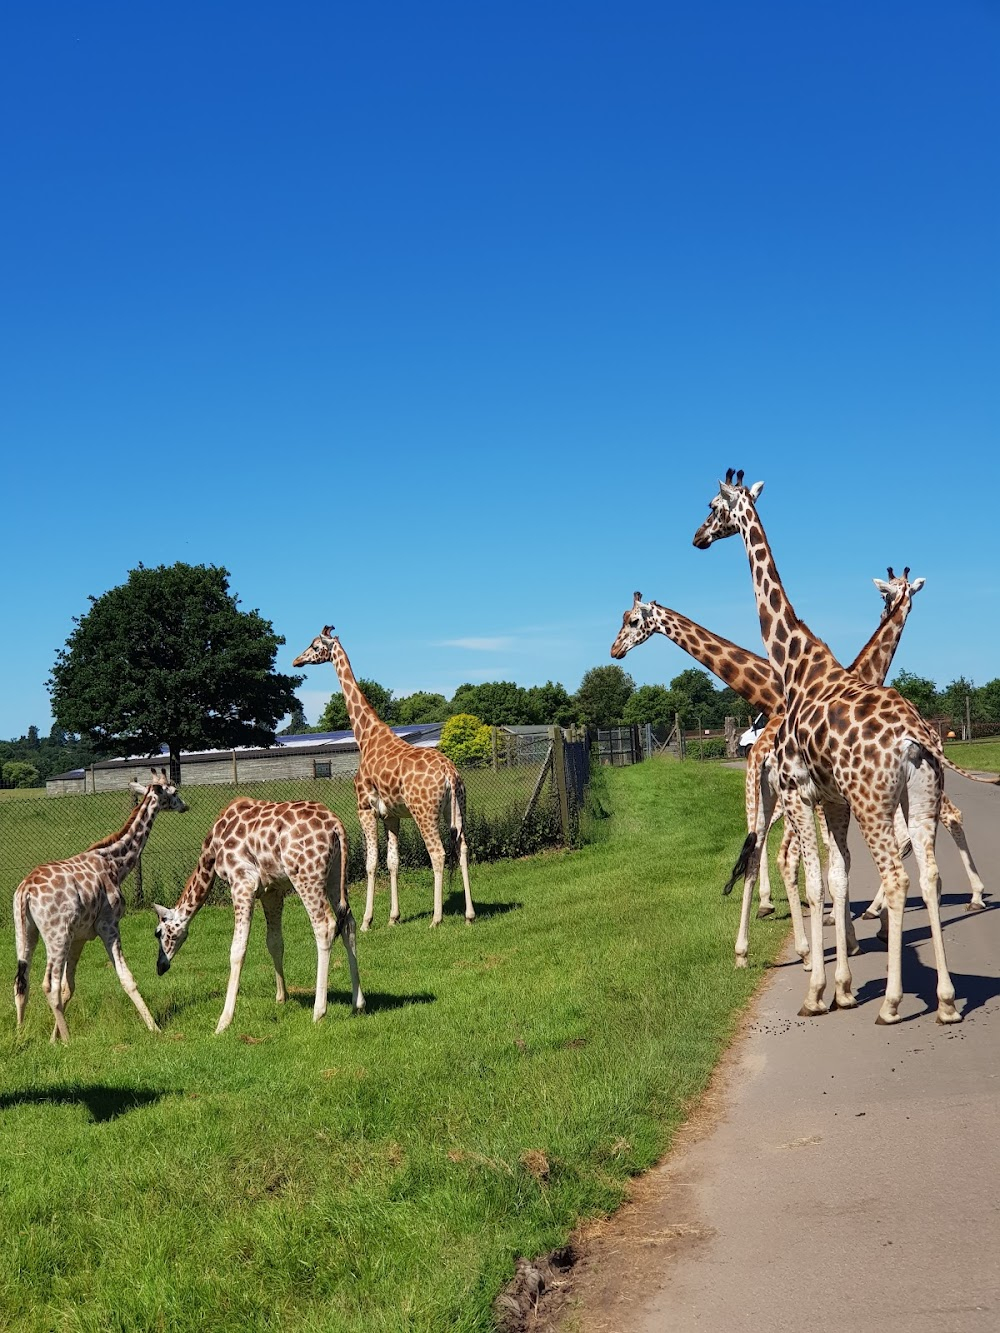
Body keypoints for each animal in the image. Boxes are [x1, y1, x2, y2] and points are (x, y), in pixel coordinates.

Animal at [13, 773, 189, 1039]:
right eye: (174, 791)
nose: (185, 806)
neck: (116, 862)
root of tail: (26, 891)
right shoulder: (109, 925)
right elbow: (126, 978)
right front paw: (154, 1028)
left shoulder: (79, 936)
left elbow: (69, 986)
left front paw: (52, 1039)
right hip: (57, 934)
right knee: (48, 984)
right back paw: (68, 1040)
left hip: (25, 932)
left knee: (21, 982)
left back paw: (20, 1034)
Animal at [152, 794, 365, 1034]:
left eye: (158, 932)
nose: (160, 966)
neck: (211, 851)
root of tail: (336, 826)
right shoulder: (271, 890)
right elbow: (274, 942)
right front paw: (281, 997)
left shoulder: (242, 882)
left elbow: (237, 949)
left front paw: (223, 1021)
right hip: (336, 874)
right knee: (348, 923)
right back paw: (358, 1003)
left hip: (307, 876)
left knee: (325, 926)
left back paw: (319, 1012)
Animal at [693, 469, 997, 1018]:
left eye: (713, 506)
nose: (697, 537)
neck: (798, 667)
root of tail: (916, 736)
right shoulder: (831, 799)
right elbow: (835, 877)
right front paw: (841, 984)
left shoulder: (802, 792)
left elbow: (820, 880)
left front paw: (819, 991)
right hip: (917, 796)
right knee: (930, 876)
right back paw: (945, 999)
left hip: (869, 801)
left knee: (893, 876)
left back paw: (892, 1001)